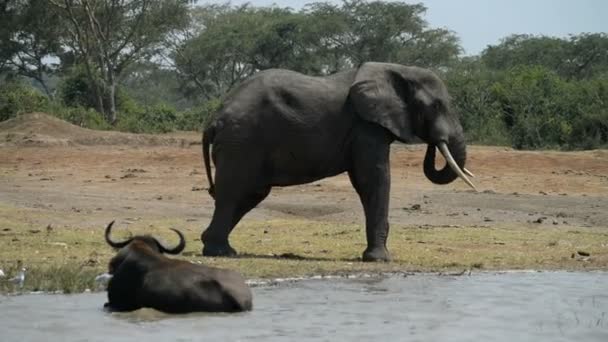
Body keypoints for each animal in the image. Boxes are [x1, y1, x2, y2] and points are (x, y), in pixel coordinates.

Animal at [202, 62, 478, 262]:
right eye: (437, 106)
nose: (435, 140)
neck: (399, 70)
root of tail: (214, 118)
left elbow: (364, 181)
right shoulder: (367, 127)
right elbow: (374, 179)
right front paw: (380, 260)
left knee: (251, 193)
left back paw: (217, 247)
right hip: (242, 141)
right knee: (234, 192)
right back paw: (220, 252)